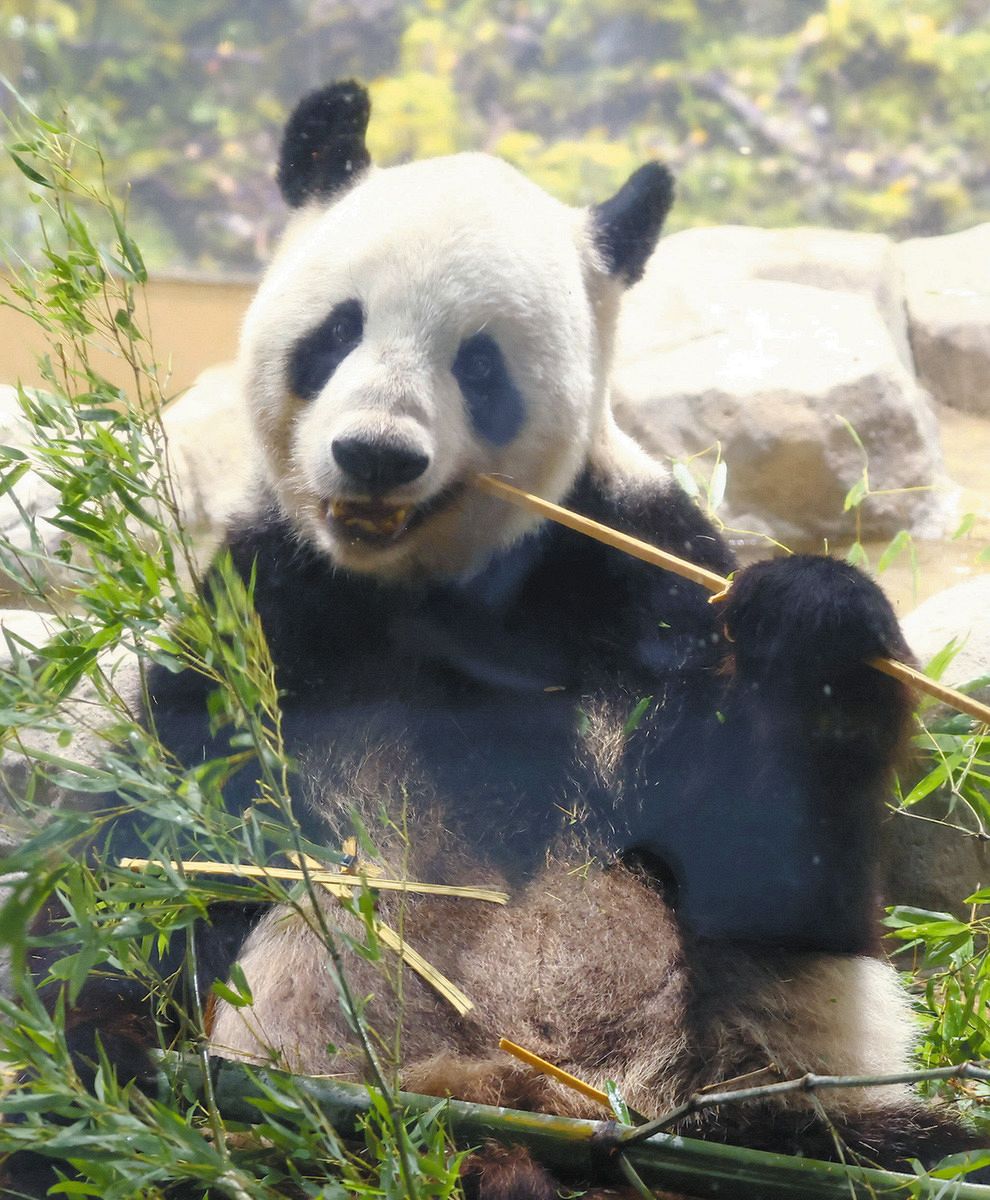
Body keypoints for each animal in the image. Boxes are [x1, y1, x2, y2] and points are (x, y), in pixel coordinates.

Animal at [15, 82, 988, 1200]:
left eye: (478, 363)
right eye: (338, 329)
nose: (376, 454)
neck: (434, 589)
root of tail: (501, 1117)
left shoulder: (641, 577)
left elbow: (763, 858)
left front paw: (814, 633)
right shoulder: (265, 613)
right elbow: (154, 845)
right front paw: (98, 1040)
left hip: (745, 1093)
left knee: (874, 1136)